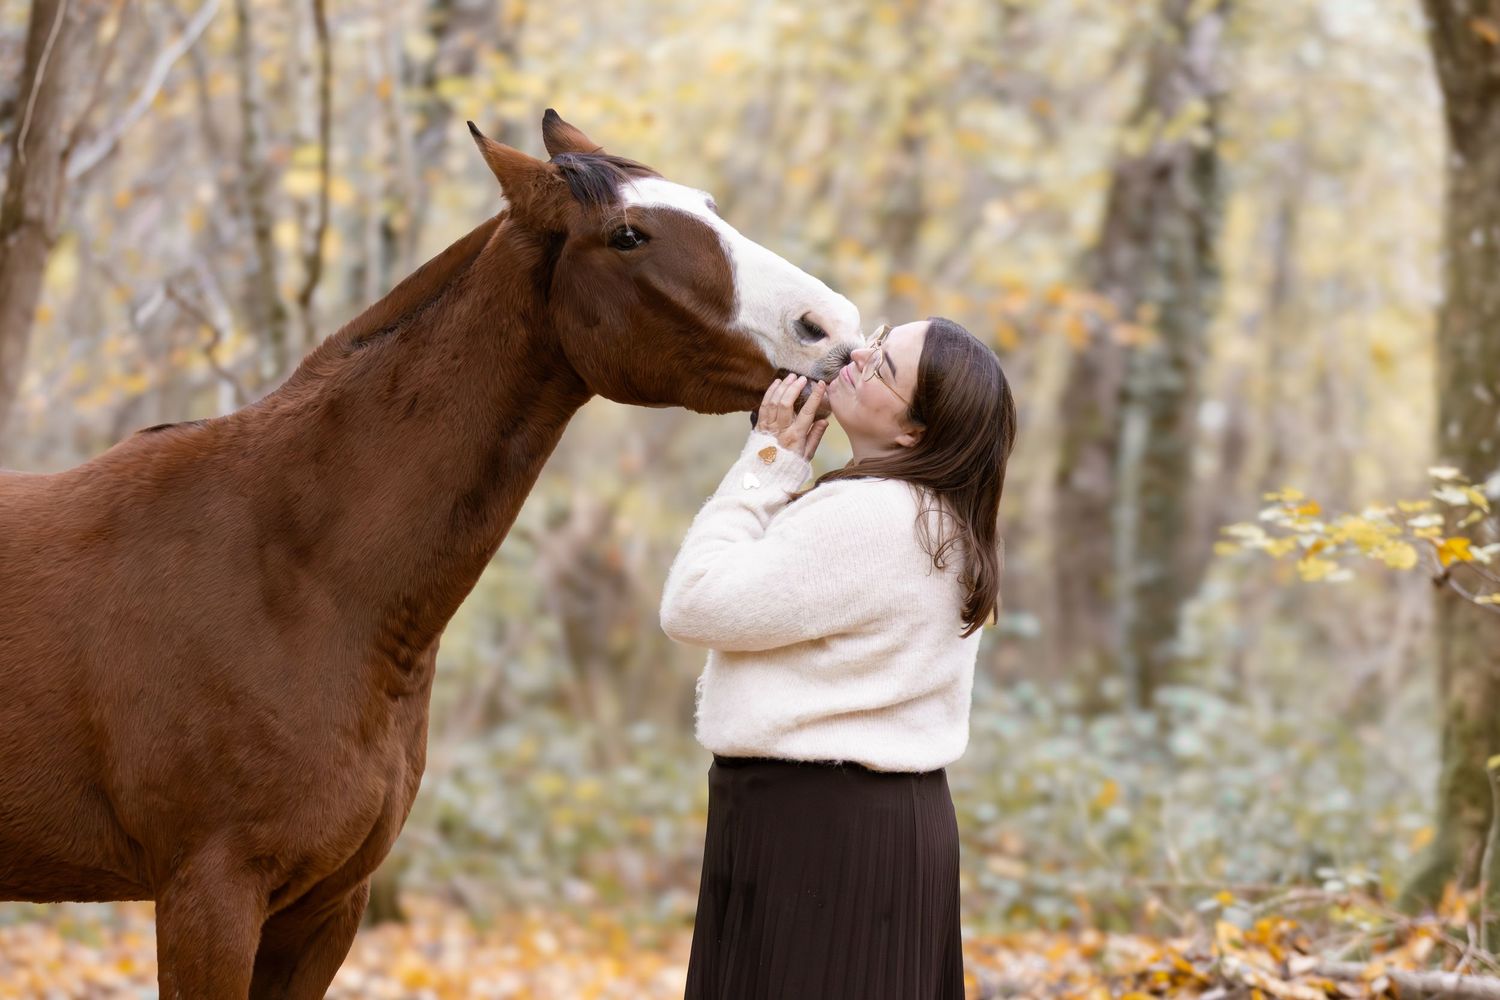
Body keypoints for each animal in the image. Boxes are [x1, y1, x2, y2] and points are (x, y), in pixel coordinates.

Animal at [0, 109, 862, 998]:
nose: (832, 328)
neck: (291, 573)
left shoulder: (324, 908)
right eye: (628, 235)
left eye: (710, 206)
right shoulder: (208, 899)